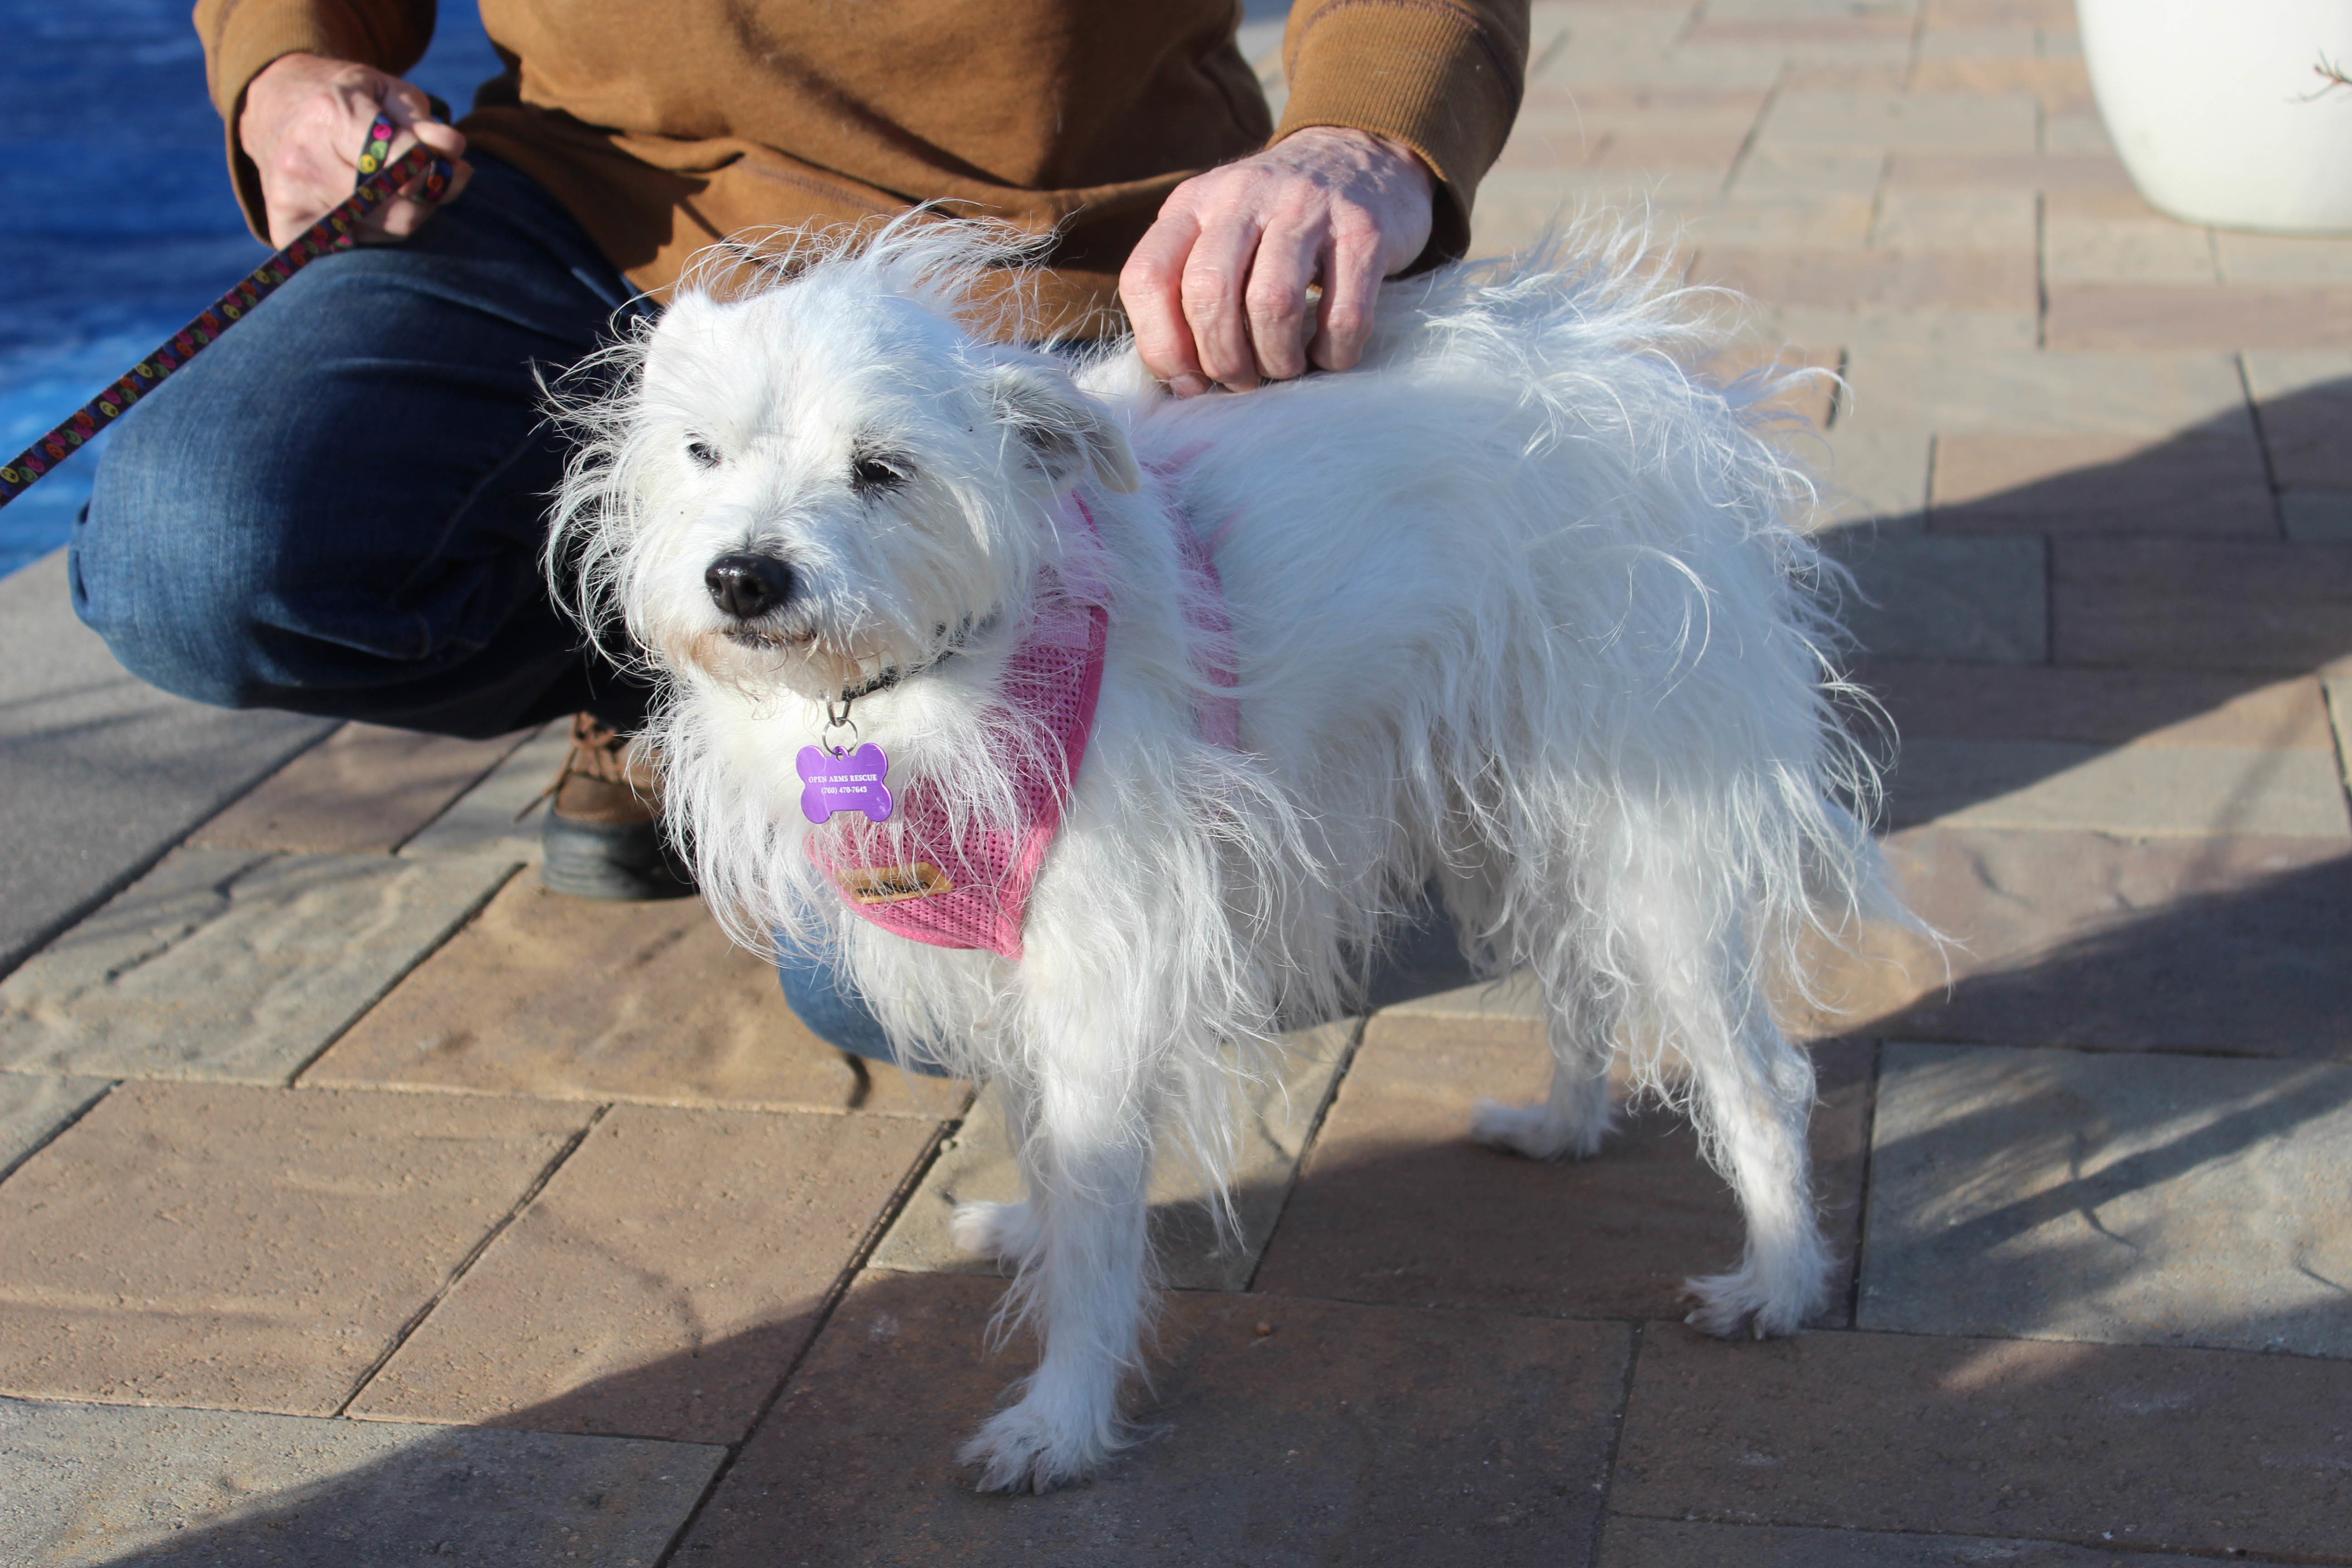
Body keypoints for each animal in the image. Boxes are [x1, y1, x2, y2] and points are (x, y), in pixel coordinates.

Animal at [545, 221, 1891, 1495]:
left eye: (882, 471)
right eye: (702, 454)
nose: (743, 576)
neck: (933, 675)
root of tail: (1645, 386)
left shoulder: (1104, 966)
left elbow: (1099, 1217)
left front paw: (1062, 1420)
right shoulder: (1016, 961)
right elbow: (1050, 1147)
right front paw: (1034, 1230)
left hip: (1645, 840)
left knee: (1758, 1074)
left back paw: (1776, 1282)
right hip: (1503, 803)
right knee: (1579, 973)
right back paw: (1562, 1126)